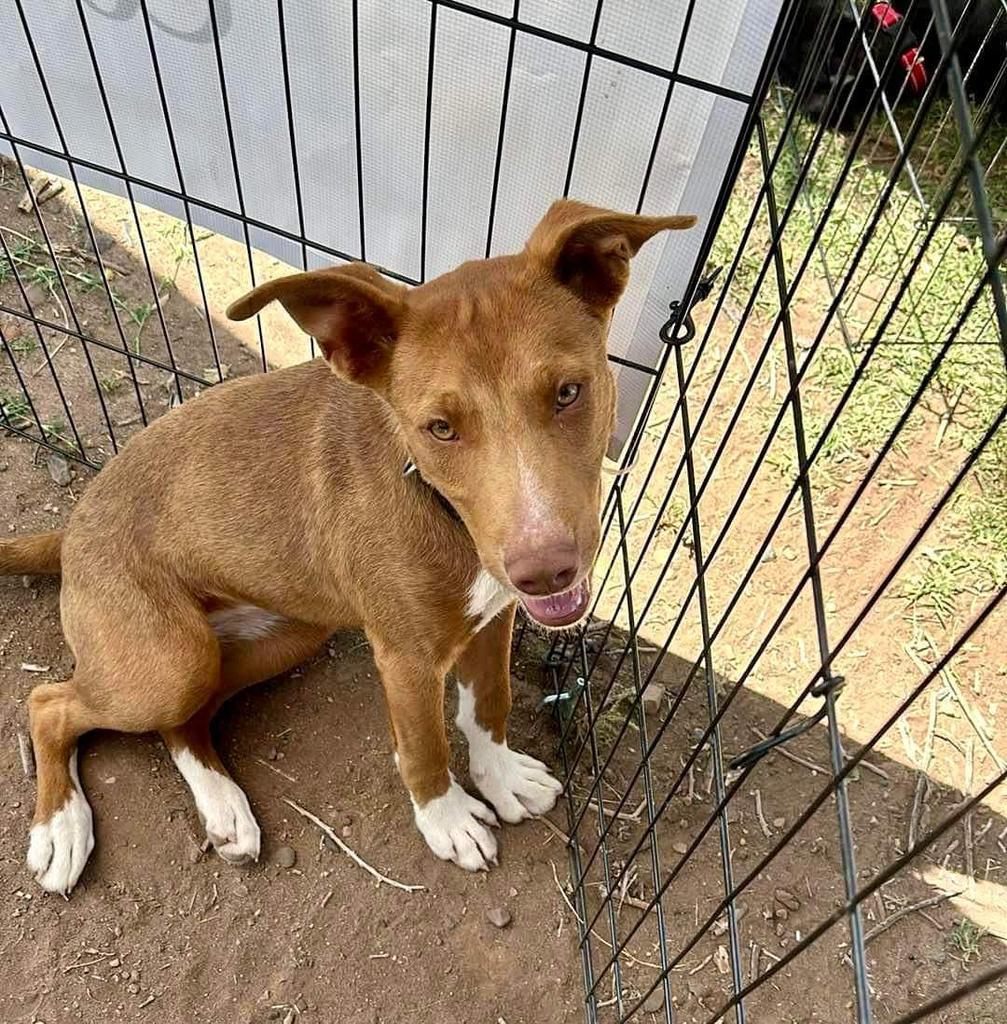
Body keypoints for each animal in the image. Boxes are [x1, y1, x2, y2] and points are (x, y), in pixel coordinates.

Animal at [0, 197, 692, 888]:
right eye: (440, 428)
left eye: (568, 392)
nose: (545, 572)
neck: (434, 501)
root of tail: (73, 526)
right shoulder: (407, 658)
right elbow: (426, 747)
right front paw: (447, 820)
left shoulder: (494, 618)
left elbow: (487, 705)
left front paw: (499, 778)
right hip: (169, 660)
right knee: (51, 703)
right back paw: (62, 827)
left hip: (285, 634)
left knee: (186, 721)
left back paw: (224, 807)